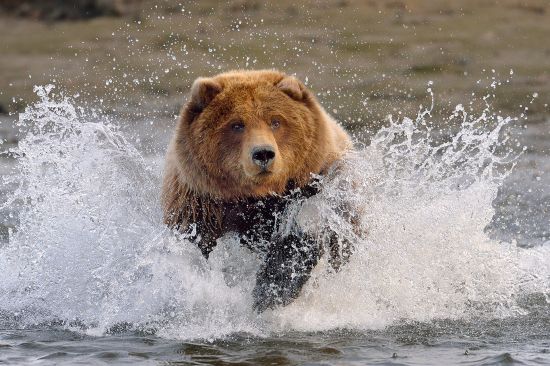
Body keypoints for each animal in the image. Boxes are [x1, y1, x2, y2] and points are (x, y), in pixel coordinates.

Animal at [162, 69, 356, 312]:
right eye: (237, 124)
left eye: (275, 121)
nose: (263, 153)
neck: (259, 197)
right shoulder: (200, 206)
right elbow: (196, 249)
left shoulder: (318, 190)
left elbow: (302, 237)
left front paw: (272, 290)